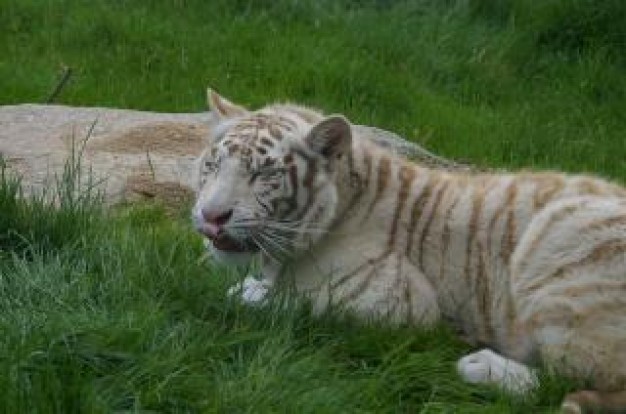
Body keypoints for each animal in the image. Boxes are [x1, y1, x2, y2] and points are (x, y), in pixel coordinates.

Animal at [191, 90, 624, 414]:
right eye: (212, 166)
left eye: (263, 174)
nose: (211, 217)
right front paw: (256, 286)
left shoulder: (400, 299)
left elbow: (301, 300)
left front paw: (253, 294)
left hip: (559, 239)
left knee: (569, 380)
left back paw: (480, 365)